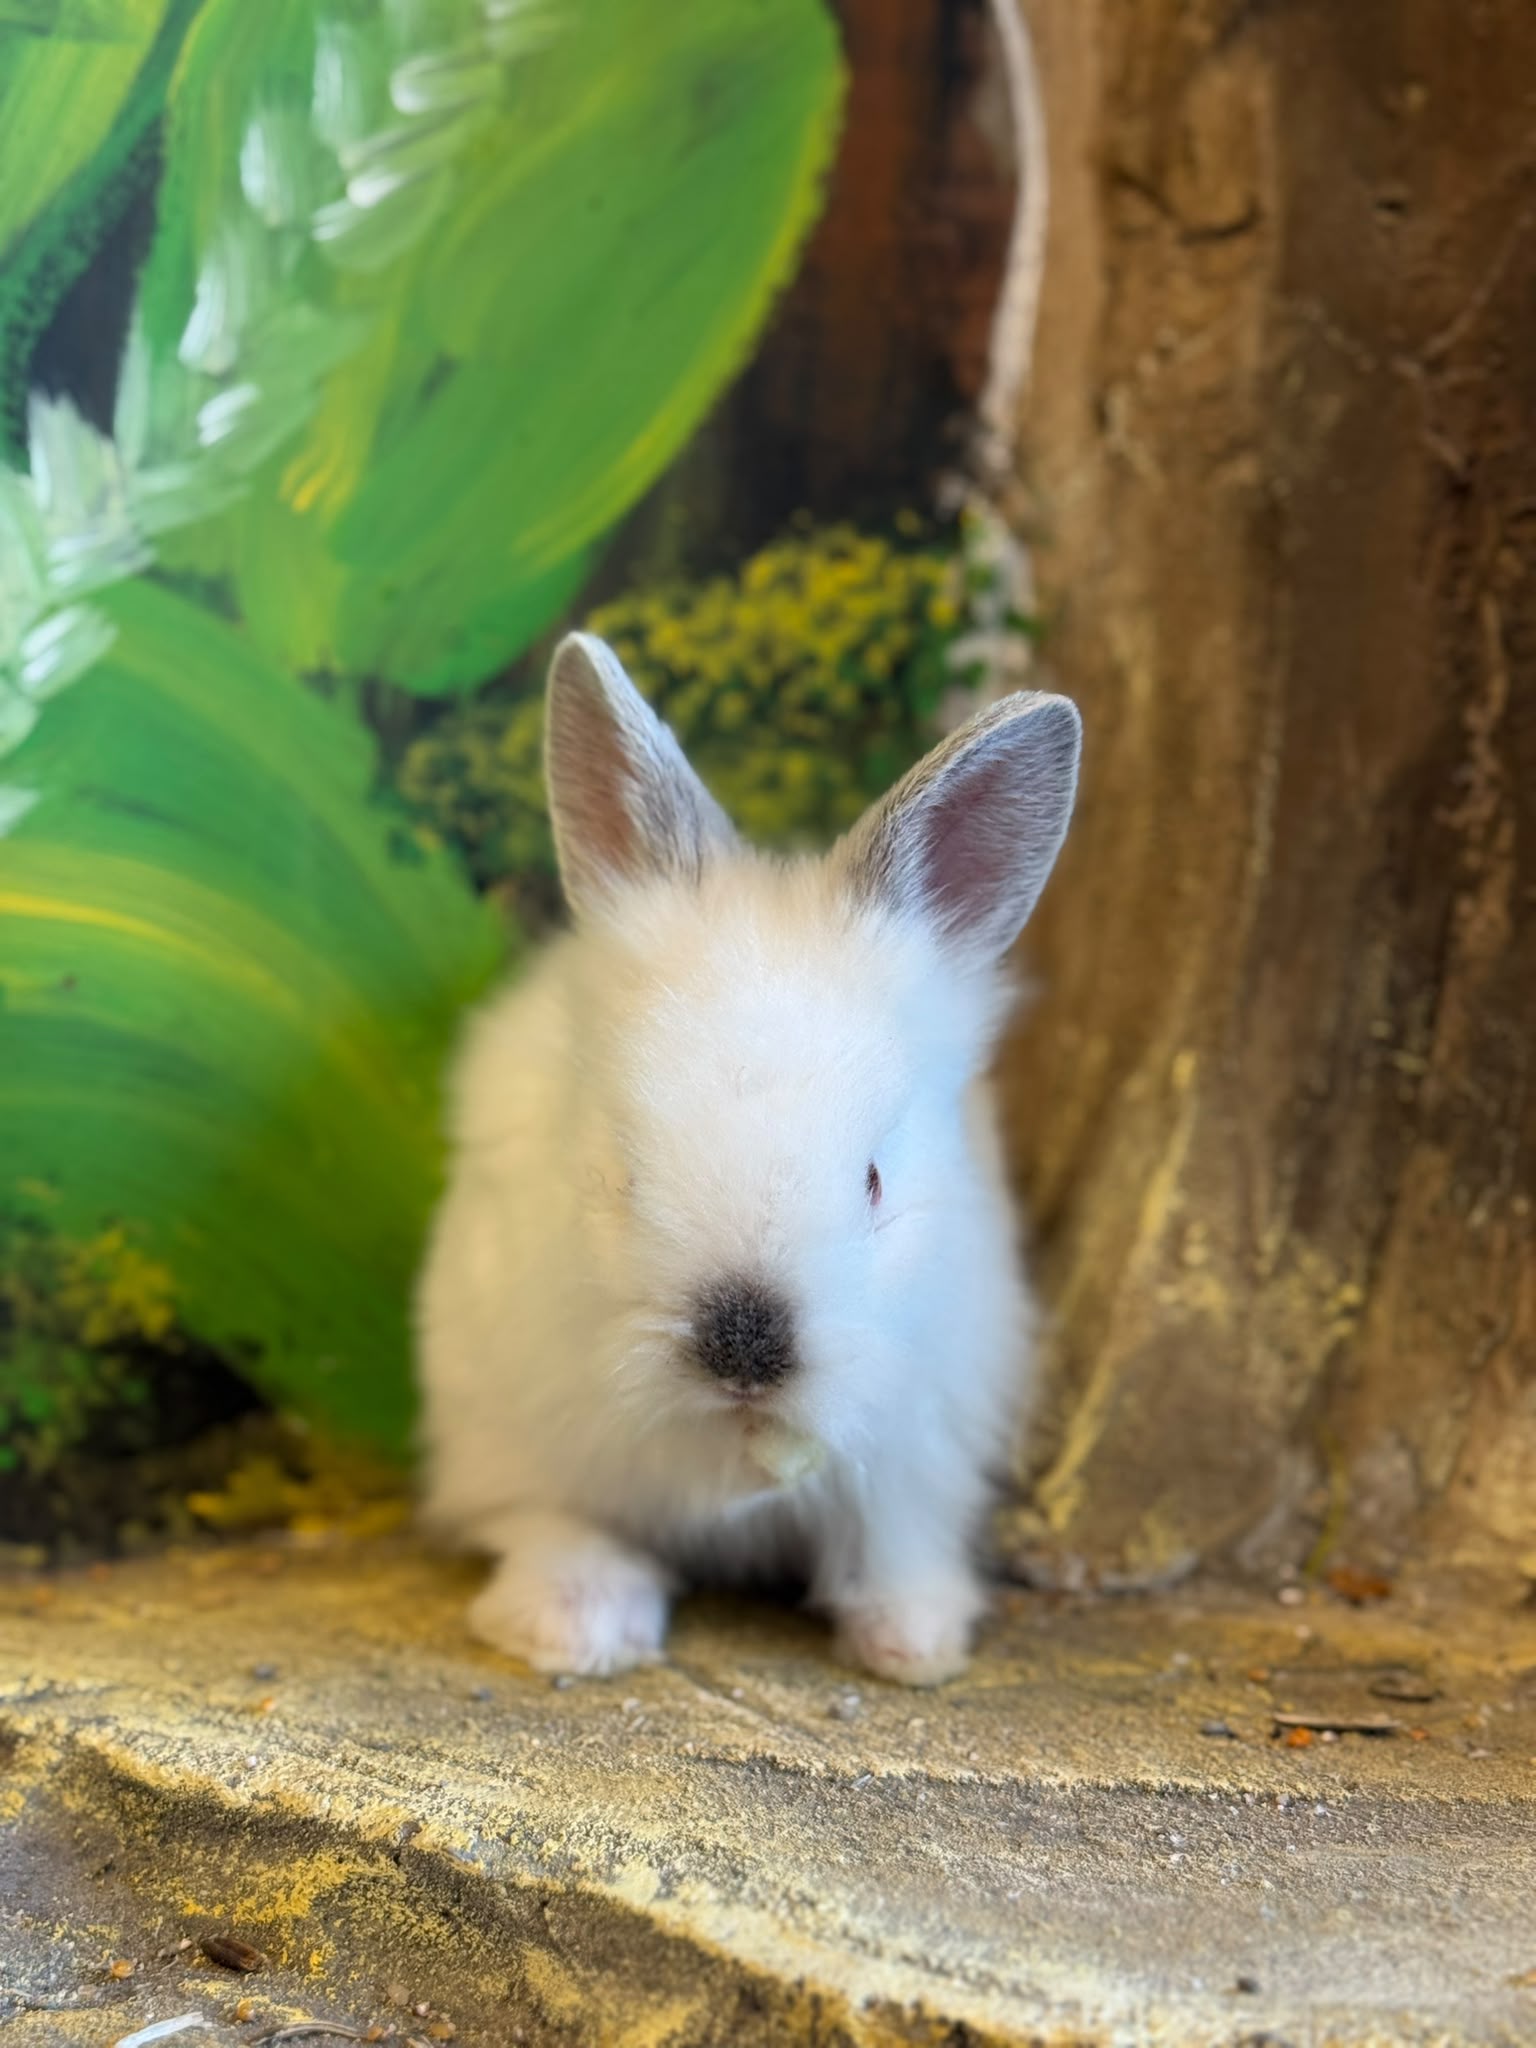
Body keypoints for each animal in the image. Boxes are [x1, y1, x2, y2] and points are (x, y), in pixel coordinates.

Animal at [415, 631, 1081, 1685]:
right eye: (623, 1167)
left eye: (875, 1180)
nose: (743, 1350)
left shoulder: (920, 1454)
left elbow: (892, 1542)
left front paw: (915, 1646)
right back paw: (576, 1623)